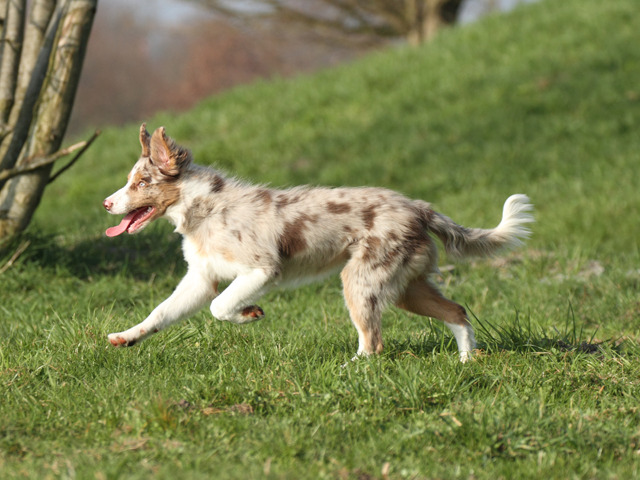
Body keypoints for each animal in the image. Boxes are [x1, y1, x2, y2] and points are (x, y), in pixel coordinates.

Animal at [103, 124, 534, 362]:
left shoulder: (261, 269)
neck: (204, 209)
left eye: (140, 183)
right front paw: (126, 337)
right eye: (129, 181)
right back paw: (466, 362)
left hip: (360, 282)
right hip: (406, 288)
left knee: (373, 342)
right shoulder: (200, 278)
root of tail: (419, 207)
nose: (107, 203)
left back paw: (351, 370)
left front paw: (249, 313)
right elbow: (161, 312)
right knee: (457, 311)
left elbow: (219, 306)